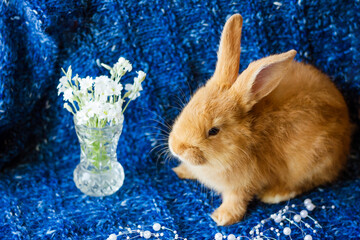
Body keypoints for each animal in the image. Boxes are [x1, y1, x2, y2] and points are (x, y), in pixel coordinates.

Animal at [168, 14, 352, 226]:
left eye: (213, 131)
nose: (177, 148)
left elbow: (236, 200)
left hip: (312, 161)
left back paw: (274, 195)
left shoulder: (242, 184)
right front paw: (180, 171)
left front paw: (221, 218)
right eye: (189, 104)